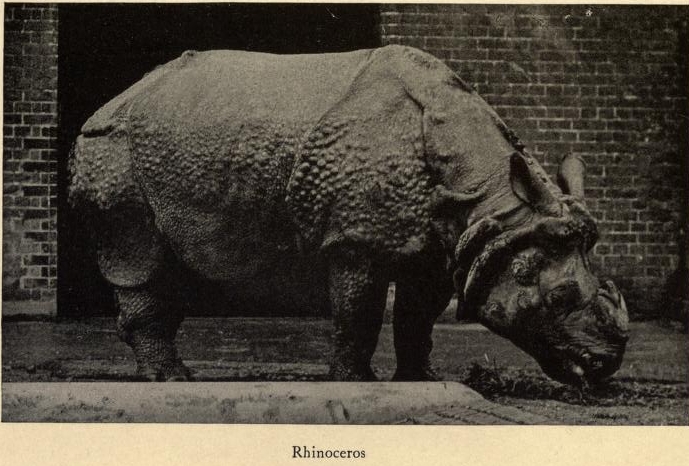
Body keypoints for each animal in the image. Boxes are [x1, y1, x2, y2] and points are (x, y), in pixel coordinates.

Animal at [69, 45, 629, 385]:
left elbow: (416, 316)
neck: (491, 197)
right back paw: (171, 379)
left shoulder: (449, 243)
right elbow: (358, 312)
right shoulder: (355, 240)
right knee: (137, 255)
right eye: (557, 297)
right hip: (111, 149)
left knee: (175, 262)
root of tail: (109, 102)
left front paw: (419, 381)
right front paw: (356, 382)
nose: (605, 366)